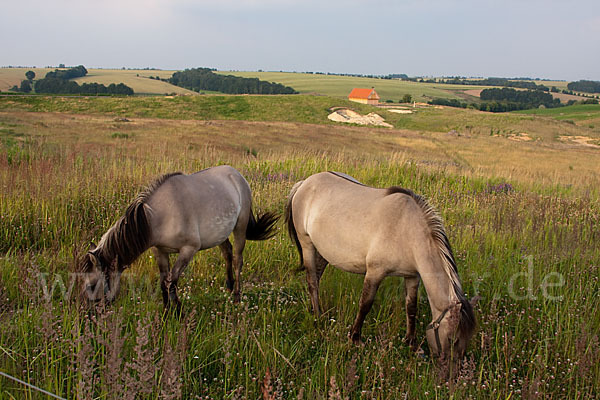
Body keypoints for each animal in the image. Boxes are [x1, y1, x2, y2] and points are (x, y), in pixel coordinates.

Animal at [78, 166, 282, 310]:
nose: (89, 314)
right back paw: (230, 286)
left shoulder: (188, 250)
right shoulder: (159, 251)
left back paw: (237, 296)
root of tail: (237, 175)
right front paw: (167, 310)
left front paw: (177, 310)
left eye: (92, 285)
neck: (159, 217)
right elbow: (163, 282)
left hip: (239, 227)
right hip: (220, 233)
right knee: (227, 254)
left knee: (238, 259)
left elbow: (172, 282)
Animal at [286, 170, 478, 368]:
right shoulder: (375, 272)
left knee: (316, 277)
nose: (453, 372)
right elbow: (365, 304)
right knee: (312, 281)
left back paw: (315, 309)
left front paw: (411, 343)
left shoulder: (412, 276)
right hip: (307, 244)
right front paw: (355, 338)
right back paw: (318, 316)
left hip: (324, 252)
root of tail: (304, 183)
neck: (408, 231)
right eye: (453, 339)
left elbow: (411, 308)